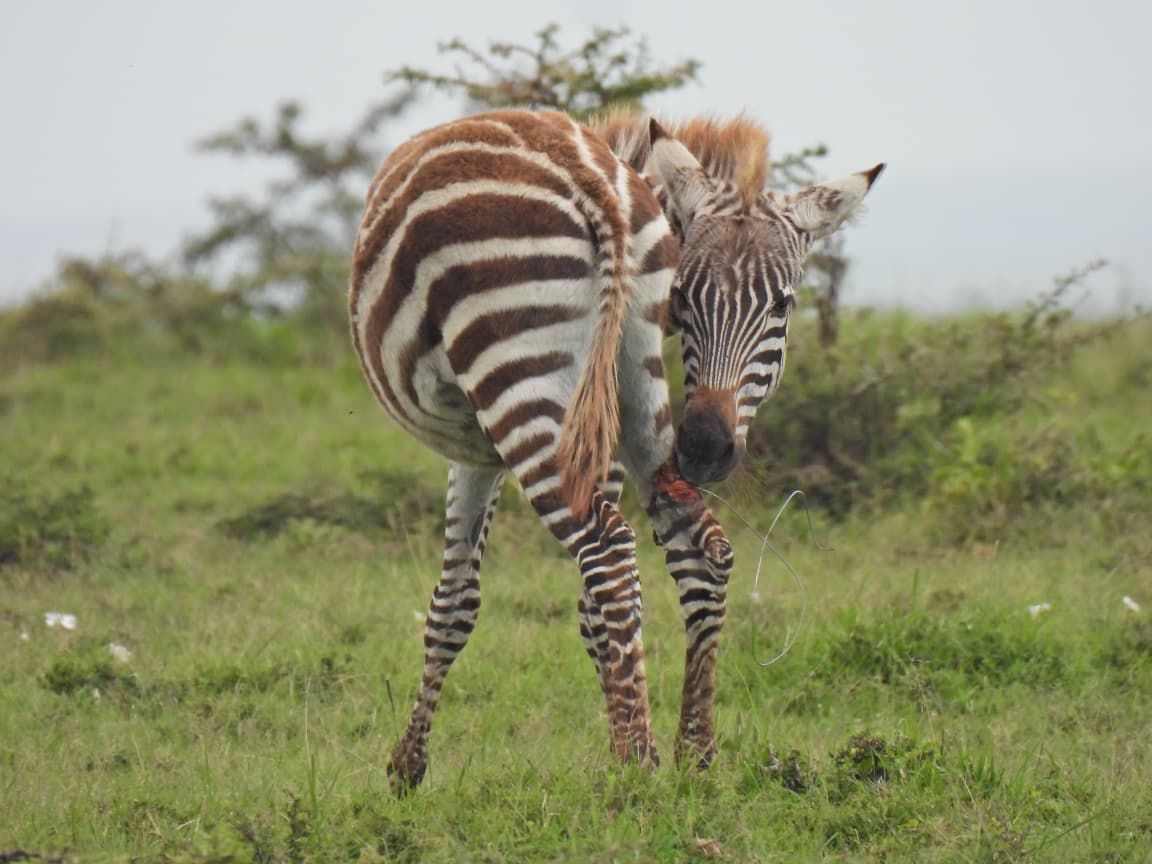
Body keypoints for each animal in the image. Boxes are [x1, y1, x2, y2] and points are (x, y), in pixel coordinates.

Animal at [349, 109, 882, 791]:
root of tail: (594, 184)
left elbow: (453, 604)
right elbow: (586, 612)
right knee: (695, 554)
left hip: (521, 379)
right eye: (683, 296)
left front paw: (407, 767)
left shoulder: (476, 452)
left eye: (782, 305)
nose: (706, 448)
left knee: (607, 551)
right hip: (634, 390)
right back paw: (692, 754)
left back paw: (636, 764)